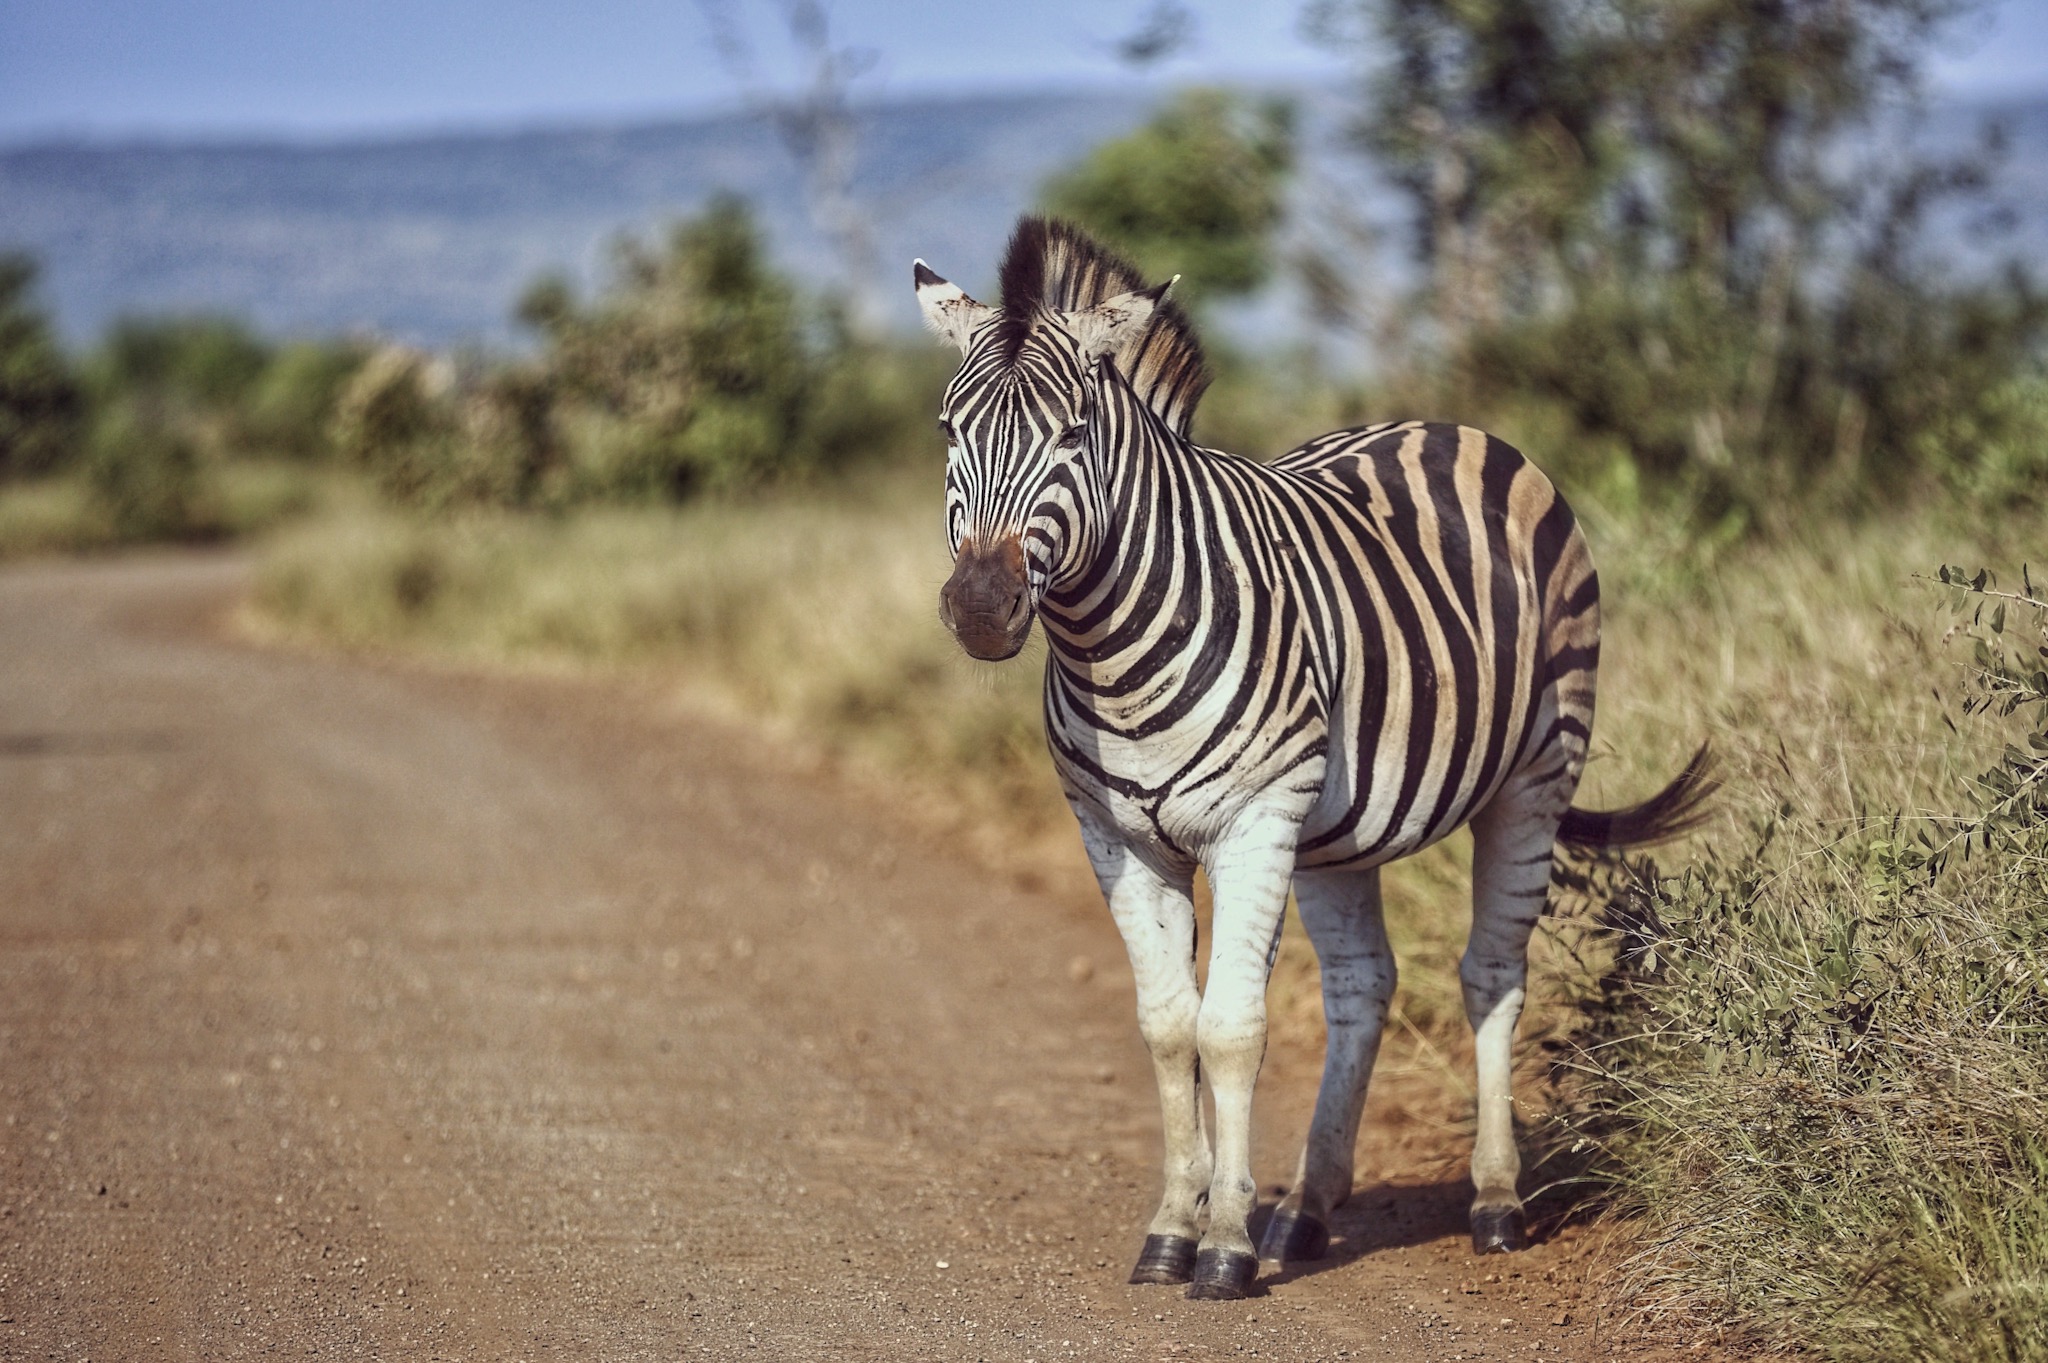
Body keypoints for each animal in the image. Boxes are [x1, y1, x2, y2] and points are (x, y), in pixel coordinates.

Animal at [913, 217, 1712, 1301]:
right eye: (948, 432)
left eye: (1073, 435)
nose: (981, 610)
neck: (1107, 652)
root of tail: (1444, 426)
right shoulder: (1117, 837)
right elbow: (1166, 1025)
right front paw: (1175, 1226)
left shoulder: (1252, 822)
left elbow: (1229, 1028)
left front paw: (1222, 1247)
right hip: (1335, 831)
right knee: (1362, 987)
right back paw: (1306, 1207)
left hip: (1531, 779)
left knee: (1491, 972)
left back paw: (1495, 1202)